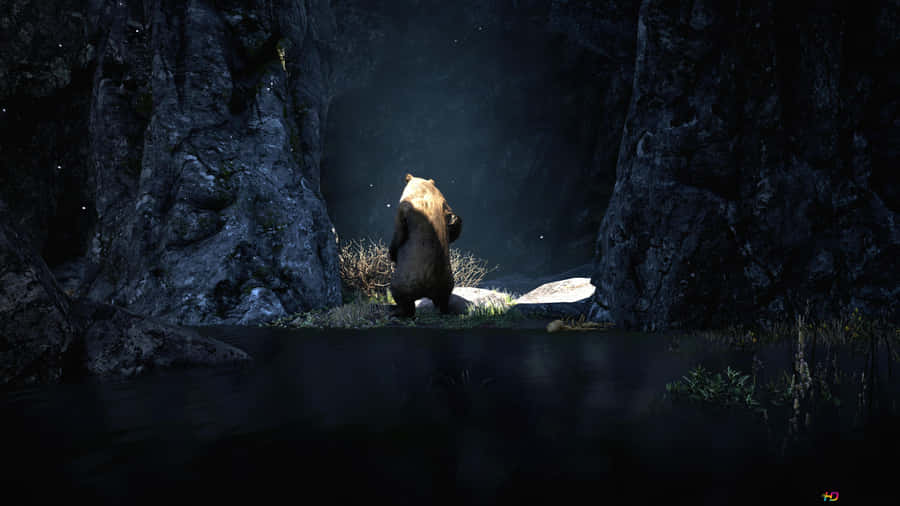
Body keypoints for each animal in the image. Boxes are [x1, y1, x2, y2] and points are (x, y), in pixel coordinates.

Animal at [389, 173, 462, 317]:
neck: (425, 191)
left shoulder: (403, 207)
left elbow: (399, 232)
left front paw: (392, 254)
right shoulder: (446, 206)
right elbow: (453, 228)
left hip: (405, 281)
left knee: (402, 298)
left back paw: (397, 311)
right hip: (446, 282)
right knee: (443, 299)